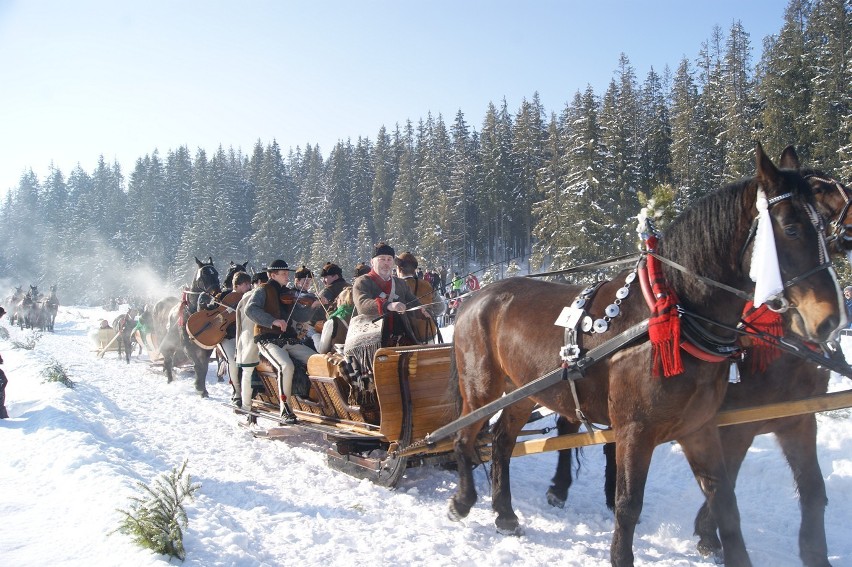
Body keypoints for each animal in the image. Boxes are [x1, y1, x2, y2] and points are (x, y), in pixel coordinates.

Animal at [450, 145, 844, 567]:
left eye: (824, 226)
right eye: (790, 228)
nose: (831, 319)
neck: (674, 314)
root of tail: (473, 298)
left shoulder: (703, 427)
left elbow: (726, 501)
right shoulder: (637, 431)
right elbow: (628, 504)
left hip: (523, 391)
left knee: (502, 443)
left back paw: (504, 513)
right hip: (482, 390)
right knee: (465, 438)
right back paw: (463, 501)